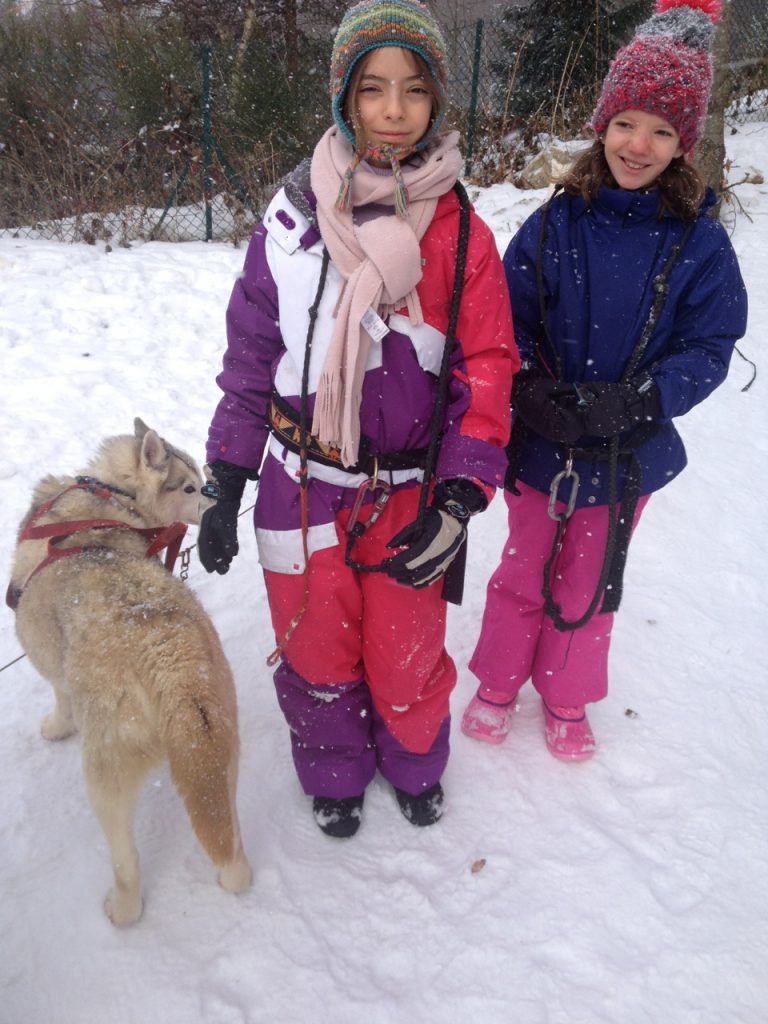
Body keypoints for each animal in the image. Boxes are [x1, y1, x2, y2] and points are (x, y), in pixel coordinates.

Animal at [8, 418, 252, 926]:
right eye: (190, 485)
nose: (218, 501)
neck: (109, 503)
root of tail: (171, 656)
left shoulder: (47, 657)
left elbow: (60, 697)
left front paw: (56, 726)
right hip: (217, 745)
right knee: (227, 834)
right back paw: (233, 874)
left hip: (107, 771)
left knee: (126, 856)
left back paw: (122, 907)